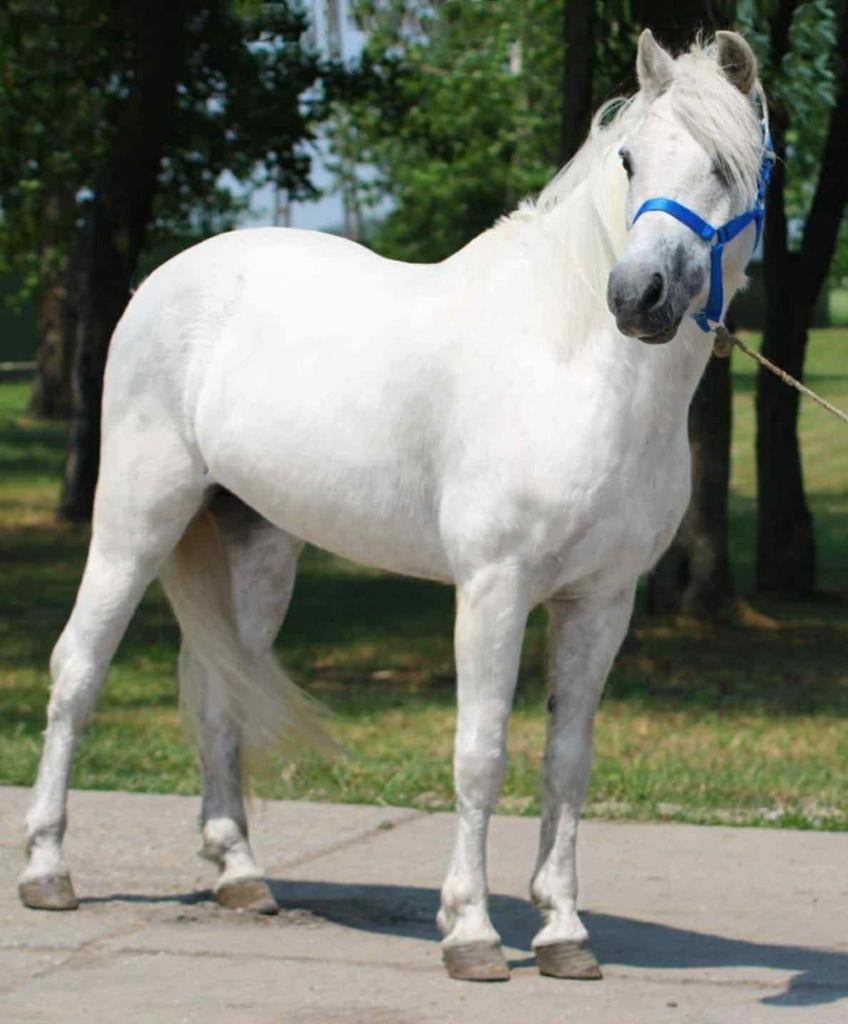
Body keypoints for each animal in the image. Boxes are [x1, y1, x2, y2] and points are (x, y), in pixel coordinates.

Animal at [20, 29, 769, 983]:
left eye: (726, 165)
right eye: (630, 159)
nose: (638, 296)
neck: (576, 366)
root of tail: (166, 281)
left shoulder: (601, 602)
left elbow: (567, 761)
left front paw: (563, 932)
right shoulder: (494, 588)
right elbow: (480, 754)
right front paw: (472, 933)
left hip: (257, 548)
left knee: (221, 687)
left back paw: (240, 875)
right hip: (135, 518)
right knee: (78, 670)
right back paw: (48, 870)